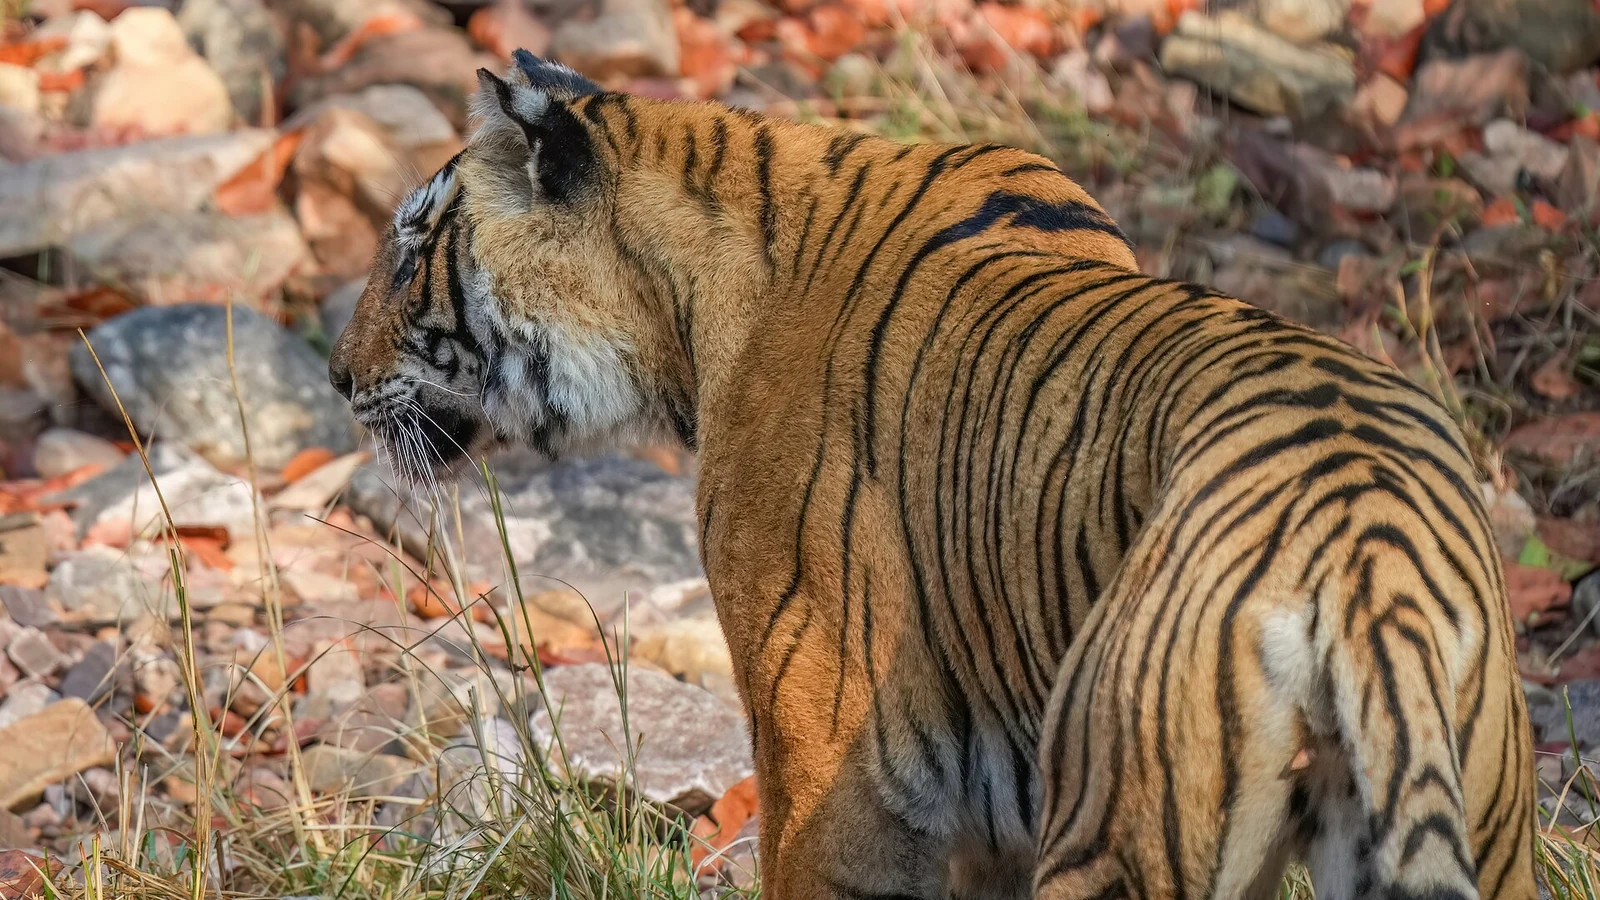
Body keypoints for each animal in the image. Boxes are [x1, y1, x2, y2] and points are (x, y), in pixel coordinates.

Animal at [326, 50, 1537, 900]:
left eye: (412, 246)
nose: (336, 377)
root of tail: (1363, 555)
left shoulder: (824, 756)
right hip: (1488, 818)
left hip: (1115, 815)